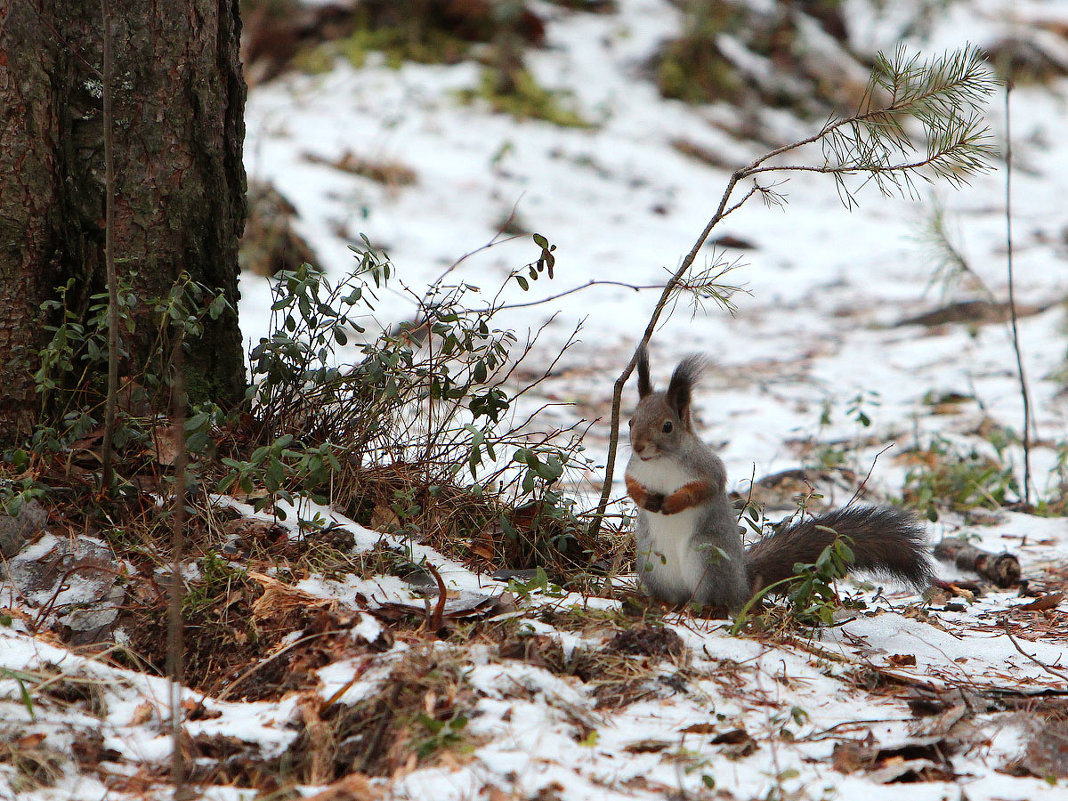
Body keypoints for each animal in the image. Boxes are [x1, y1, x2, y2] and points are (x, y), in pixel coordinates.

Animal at [623, 348, 931, 610]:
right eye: (630, 421)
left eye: (667, 426)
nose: (637, 446)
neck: (660, 461)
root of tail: (743, 583)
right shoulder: (635, 468)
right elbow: (629, 484)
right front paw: (645, 499)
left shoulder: (707, 468)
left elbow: (704, 488)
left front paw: (672, 502)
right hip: (653, 564)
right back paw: (660, 603)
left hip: (707, 561)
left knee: (716, 599)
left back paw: (705, 607)